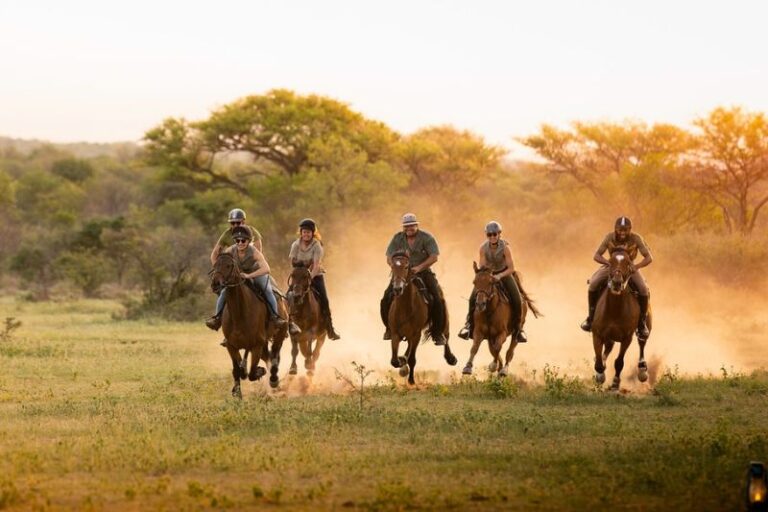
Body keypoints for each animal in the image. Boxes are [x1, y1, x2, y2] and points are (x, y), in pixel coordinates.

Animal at [210, 252, 287, 397]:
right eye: (215, 265)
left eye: (228, 265)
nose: (215, 283)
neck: (239, 313)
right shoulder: (231, 346)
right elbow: (237, 370)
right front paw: (237, 393)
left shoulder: (256, 346)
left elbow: (251, 373)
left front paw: (259, 371)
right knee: (268, 357)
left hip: (279, 334)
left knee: (274, 356)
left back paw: (274, 380)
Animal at [387, 252, 457, 385]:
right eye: (392, 267)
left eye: (406, 267)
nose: (398, 289)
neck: (405, 307)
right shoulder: (395, 333)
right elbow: (394, 361)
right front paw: (402, 362)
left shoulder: (416, 334)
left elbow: (412, 359)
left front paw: (411, 380)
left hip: (444, 321)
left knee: (446, 336)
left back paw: (450, 358)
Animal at [591, 249, 652, 390]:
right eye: (610, 262)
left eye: (628, 263)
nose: (617, 282)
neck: (615, 310)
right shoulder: (597, 334)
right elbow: (598, 360)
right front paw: (600, 375)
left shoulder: (626, 338)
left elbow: (619, 362)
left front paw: (615, 383)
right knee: (607, 348)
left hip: (646, 327)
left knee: (642, 342)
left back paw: (642, 370)